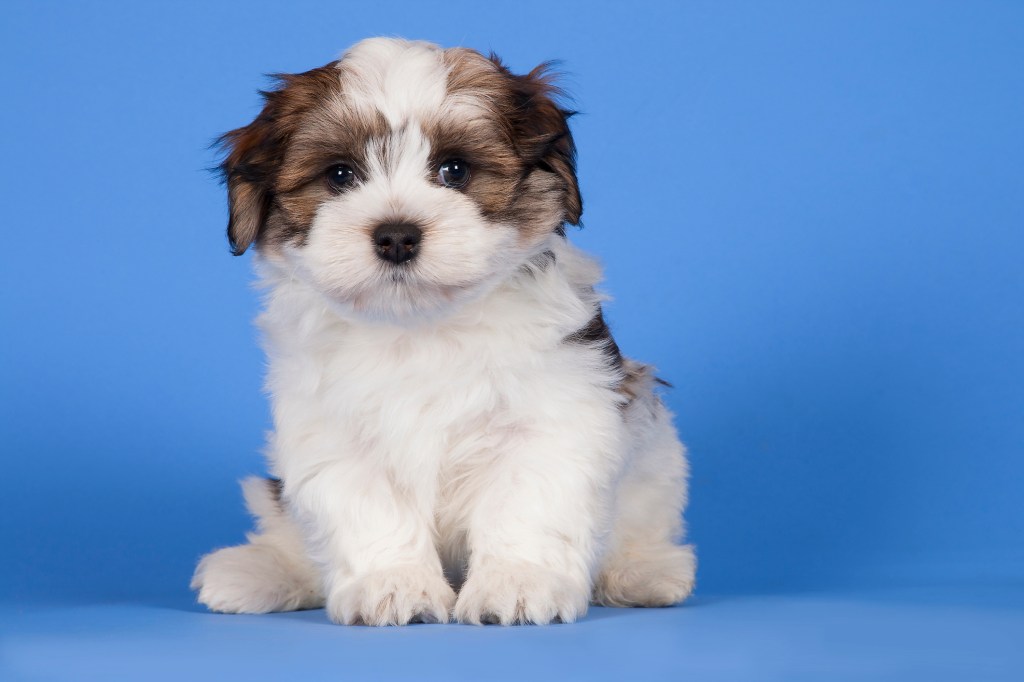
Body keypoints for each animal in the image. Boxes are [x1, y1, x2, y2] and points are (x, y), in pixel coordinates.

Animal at [190, 35, 696, 622]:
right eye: (339, 175)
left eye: (455, 170)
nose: (396, 236)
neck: (419, 325)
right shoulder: (332, 433)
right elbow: (369, 510)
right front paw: (393, 585)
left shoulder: (554, 413)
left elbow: (527, 501)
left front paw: (517, 583)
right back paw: (256, 571)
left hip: (656, 451)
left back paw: (645, 571)